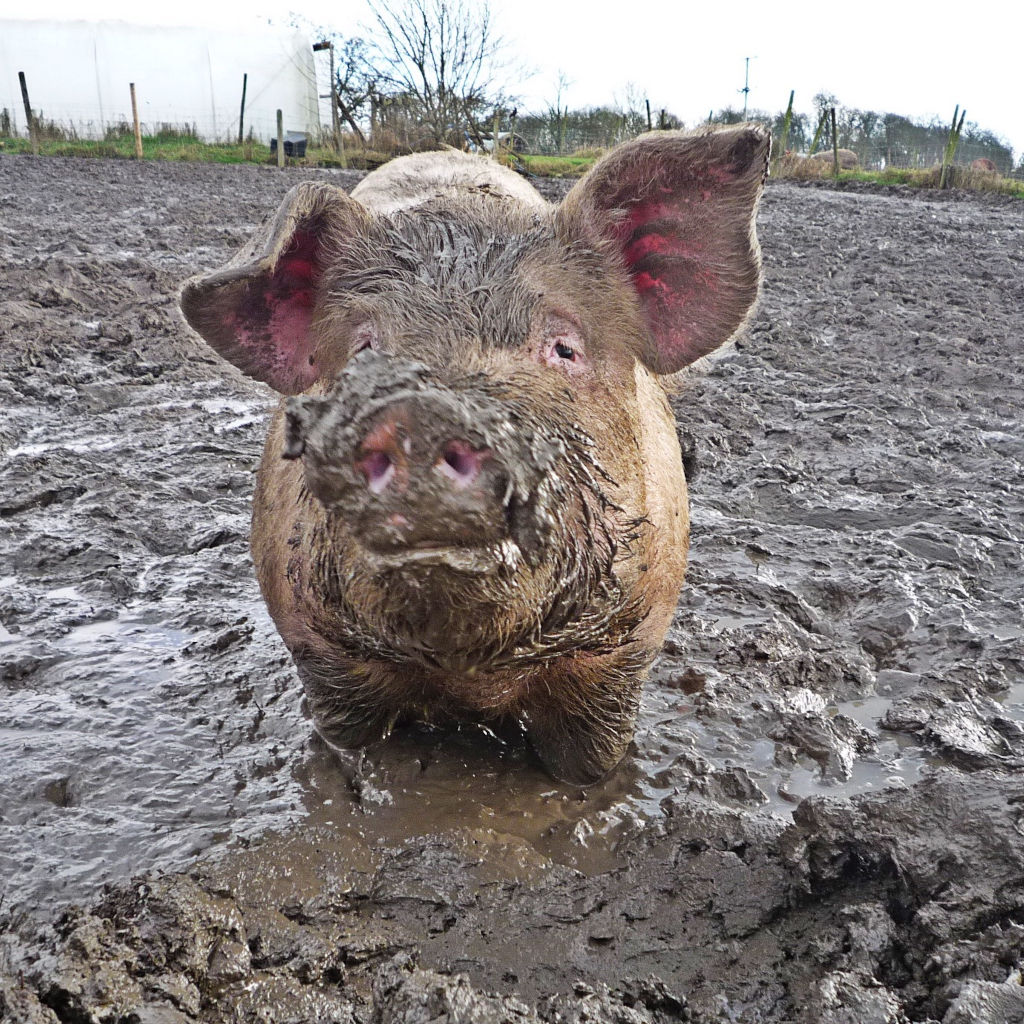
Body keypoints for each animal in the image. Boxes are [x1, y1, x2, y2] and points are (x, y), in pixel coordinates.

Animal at [180, 128, 765, 782]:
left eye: (563, 347)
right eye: (362, 348)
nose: (420, 412)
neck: (470, 675)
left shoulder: (621, 659)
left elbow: (590, 766)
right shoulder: (320, 654)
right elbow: (347, 737)